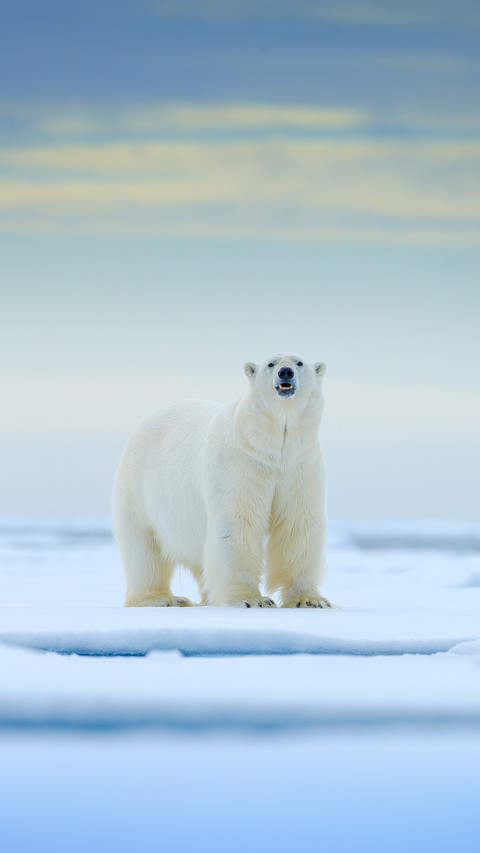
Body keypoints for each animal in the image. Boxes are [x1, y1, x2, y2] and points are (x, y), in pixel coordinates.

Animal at [113, 353, 333, 609]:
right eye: (271, 363)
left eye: (299, 362)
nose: (285, 372)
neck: (272, 447)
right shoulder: (241, 463)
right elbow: (237, 522)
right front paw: (251, 600)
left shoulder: (299, 467)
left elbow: (298, 524)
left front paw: (310, 600)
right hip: (138, 491)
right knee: (144, 551)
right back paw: (163, 598)